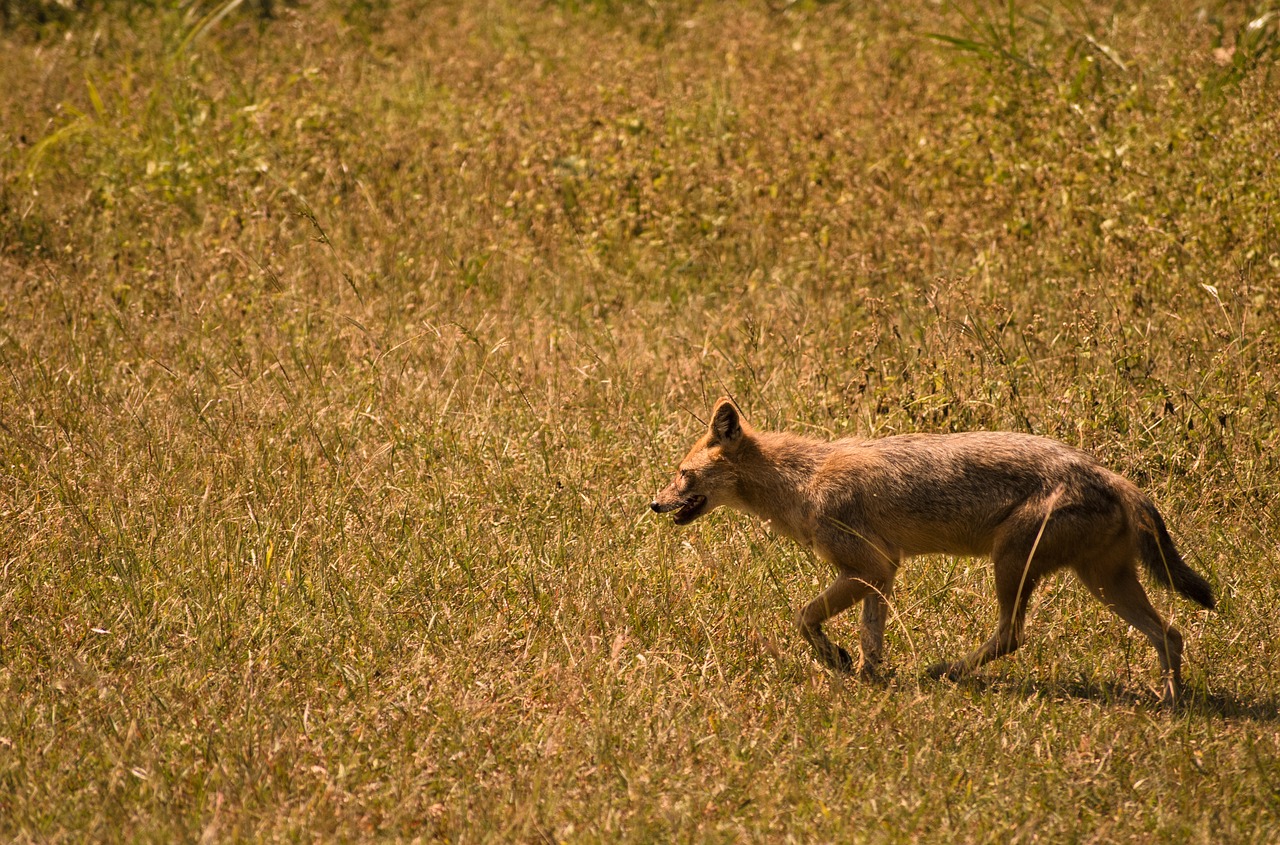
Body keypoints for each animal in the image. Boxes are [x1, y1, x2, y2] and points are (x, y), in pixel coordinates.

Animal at [655, 399, 1213, 701]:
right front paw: (868, 676)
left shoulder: (868, 568)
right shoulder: (882, 574)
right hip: (1103, 582)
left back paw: (946, 672)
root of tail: (1112, 476)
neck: (801, 480)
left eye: (683, 475)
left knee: (1012, 635)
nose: (653, 503)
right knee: (1171, 634)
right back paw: (1171, 705)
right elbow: (869, 637)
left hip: (1013, 567)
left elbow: (803, 617)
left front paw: (837, 661)